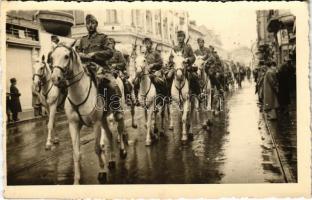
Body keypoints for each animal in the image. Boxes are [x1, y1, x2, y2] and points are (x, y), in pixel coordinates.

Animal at [50, 42, 127, 184]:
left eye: (66, 56)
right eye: (51, 57)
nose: (55, 78)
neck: (79, 93)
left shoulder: (95, 123)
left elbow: (97, 148)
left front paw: (102, 172)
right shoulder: (73, 125)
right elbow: (76, 153)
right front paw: (76, 180)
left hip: (119, 112)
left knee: (119, 129)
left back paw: (123, 150)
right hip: (103, 119)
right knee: (109, 135)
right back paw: (112, 160)